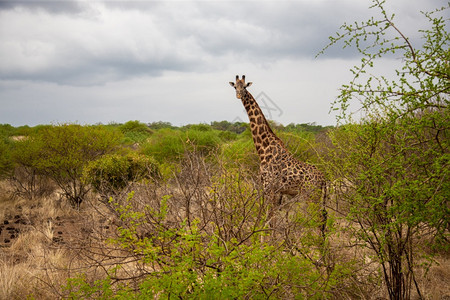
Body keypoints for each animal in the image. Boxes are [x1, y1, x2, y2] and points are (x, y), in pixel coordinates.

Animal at [229, 74, 326, 232]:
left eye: (244, 87)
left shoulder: (269, 187)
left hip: (311, 195)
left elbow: (268, 219)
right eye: (235, 87)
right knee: (323, 218)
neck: (263, 150)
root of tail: (324, 179)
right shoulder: (275, 191)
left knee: (318, 219)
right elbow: (272, 219)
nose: (238, 95)